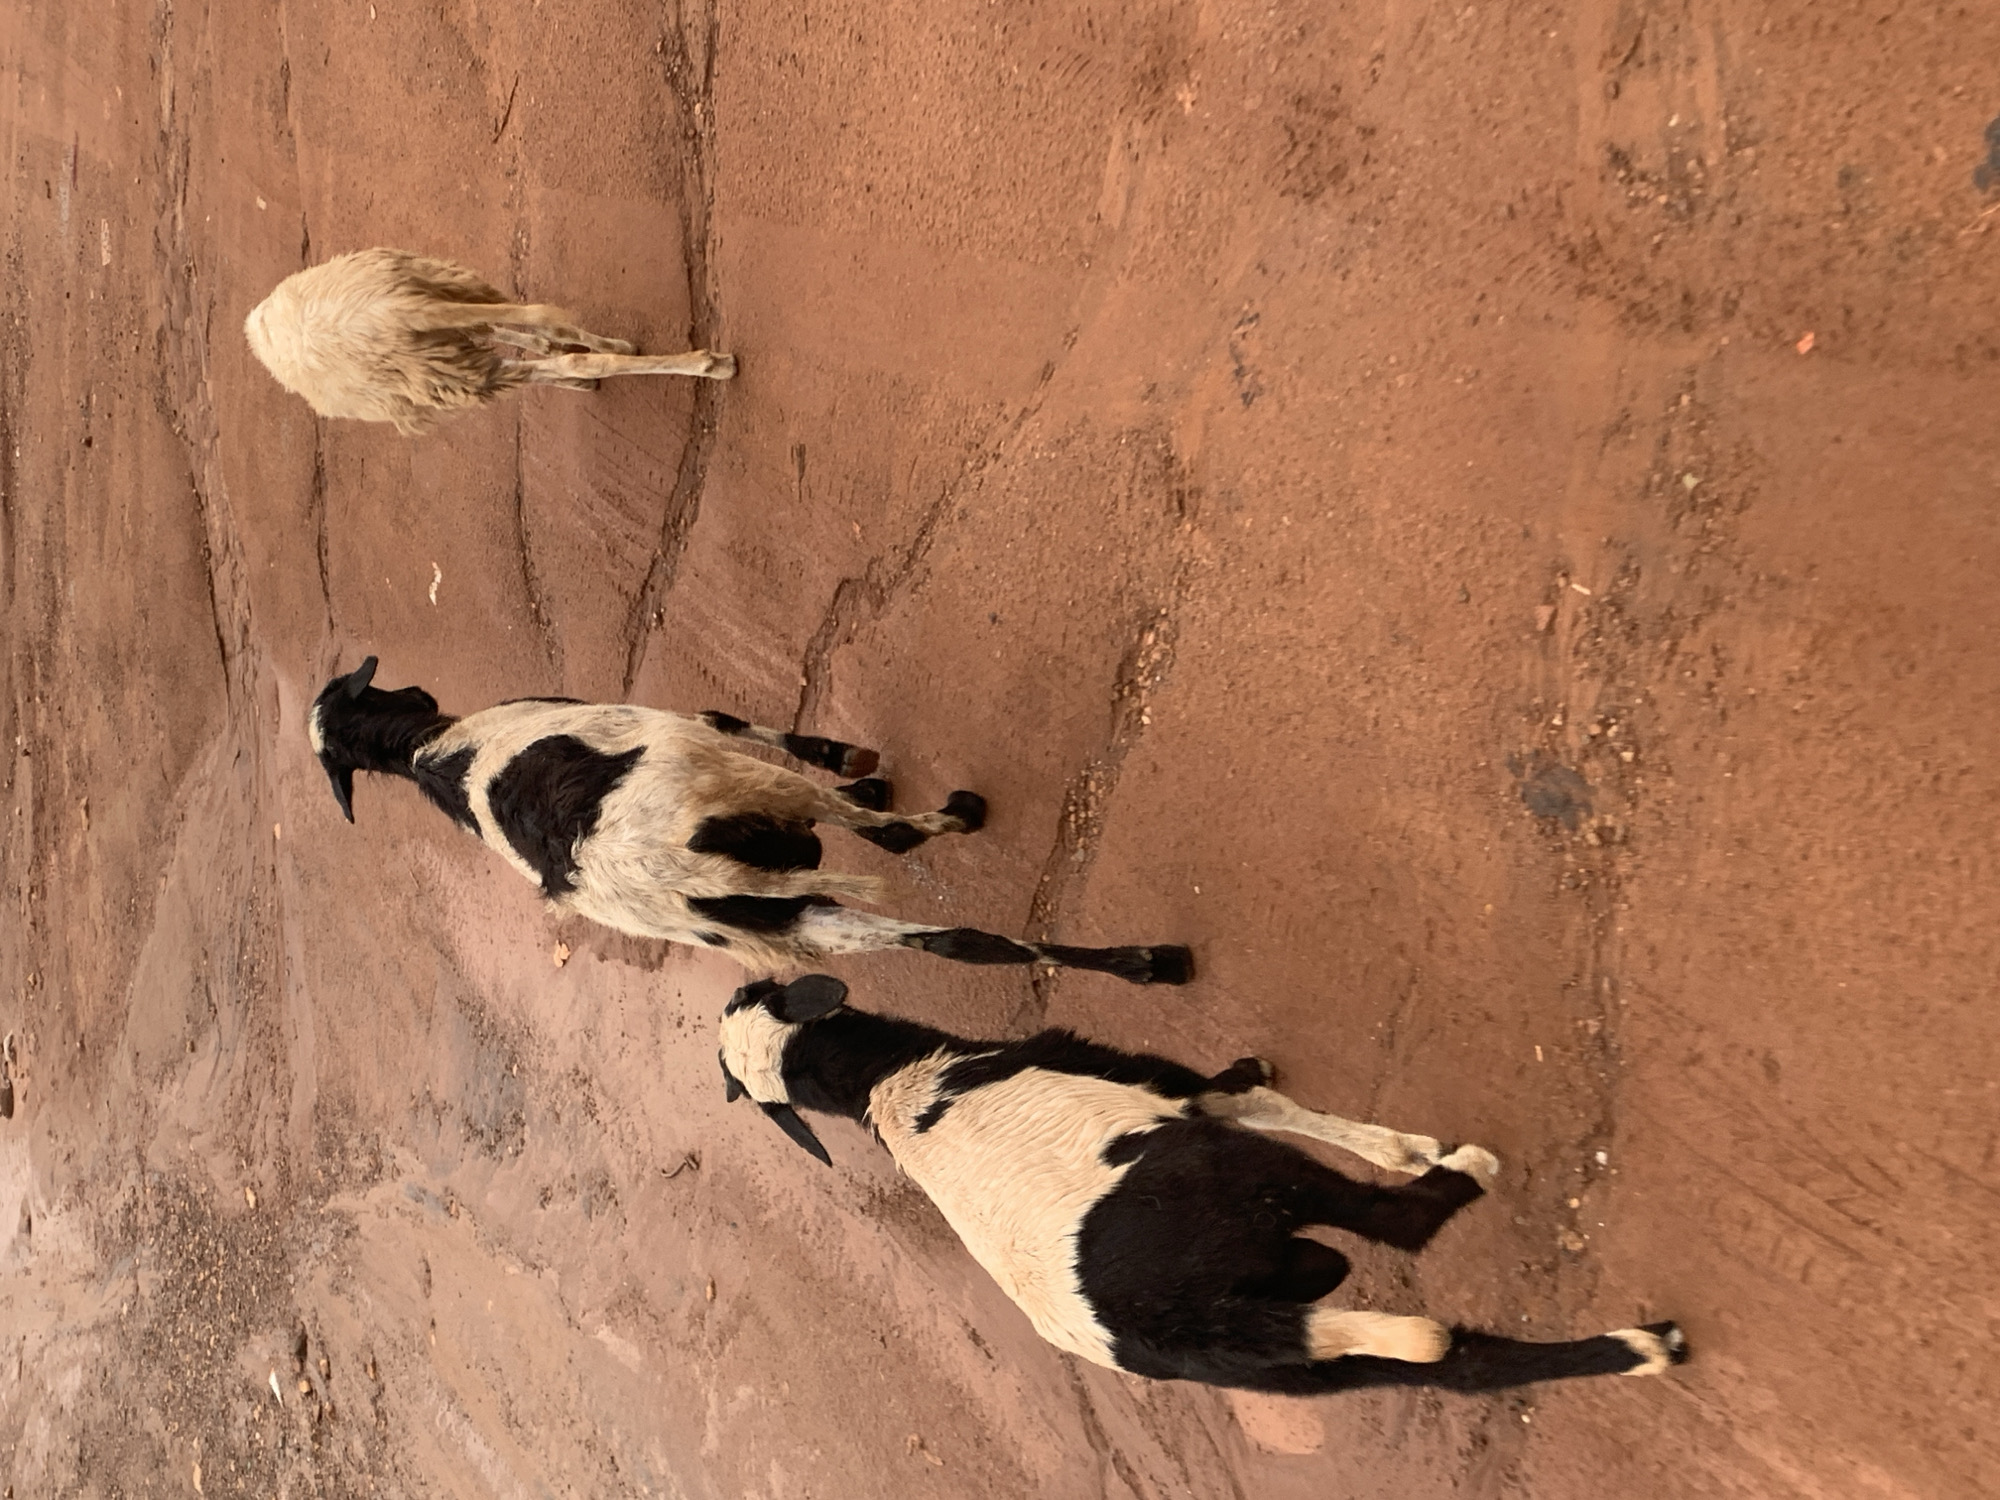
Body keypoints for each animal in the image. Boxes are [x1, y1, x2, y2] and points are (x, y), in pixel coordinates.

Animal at [308, 657, 1193, 983]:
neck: (436, 752)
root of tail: (675, 872)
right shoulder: (699, 739)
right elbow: (722, 712)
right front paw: (857, 764)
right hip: (762, 812)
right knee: (903, 862)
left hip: (778, 921)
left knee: (956, 944)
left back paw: (1147, 965)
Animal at [717, 974, 1690, 1395]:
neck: (899, 1080)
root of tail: (1169, 1322)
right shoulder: (1163, 1091)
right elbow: (1249, 1096)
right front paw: (1407, 1146)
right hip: (1234, 1184)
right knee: (1397, 1234)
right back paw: (1467, 1172)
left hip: (1285, 1365)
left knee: (1455, 1366)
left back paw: (1645, 1348)